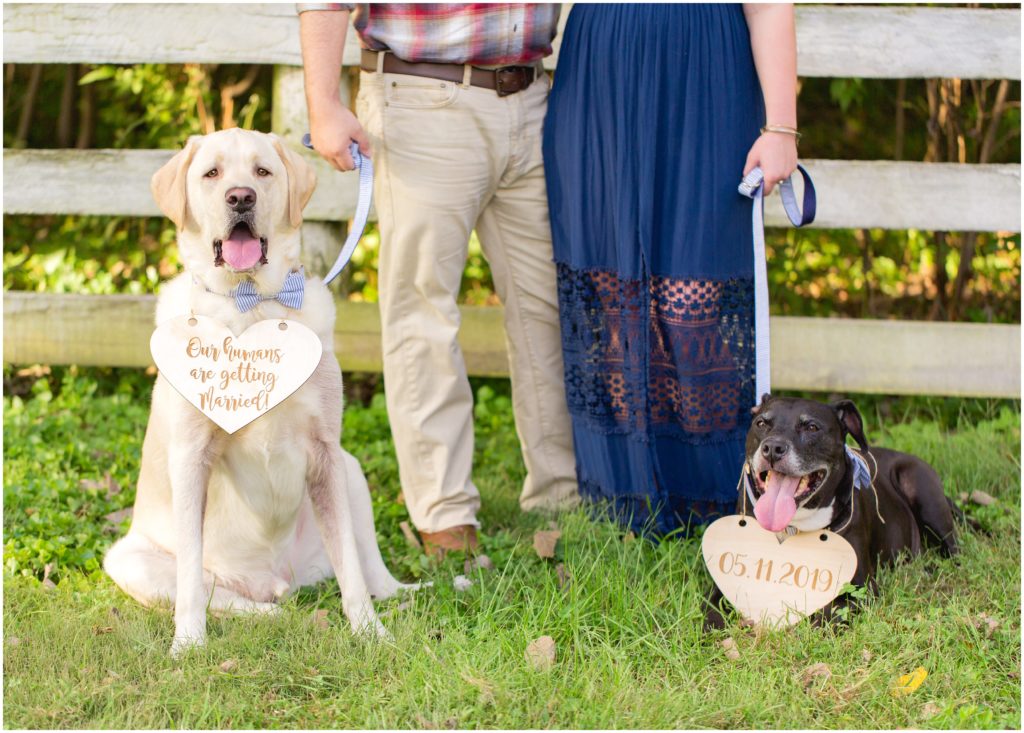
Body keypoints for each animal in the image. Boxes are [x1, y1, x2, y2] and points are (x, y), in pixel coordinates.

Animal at [103, 128, 407, 655]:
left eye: (262, 171)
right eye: (212, 173)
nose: (241, 198)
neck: (252, 306)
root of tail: (274, 581)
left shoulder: (326, 453)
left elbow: (349, 565)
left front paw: (371, 633)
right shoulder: (191, 456)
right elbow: (190, 578)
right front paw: (188, 645)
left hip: (350, 472)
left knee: (367, 567)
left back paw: (402, 593)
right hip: (129, 560)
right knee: (225, 598)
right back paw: (271, 616)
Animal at [704, 395, 958, 630]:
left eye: (811, 427)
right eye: (761, 423)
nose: (773, 449)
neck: (793, 525)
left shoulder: (862, 588)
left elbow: (828, 613)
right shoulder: (723, 581)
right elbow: (713, 606)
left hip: (922, 489)